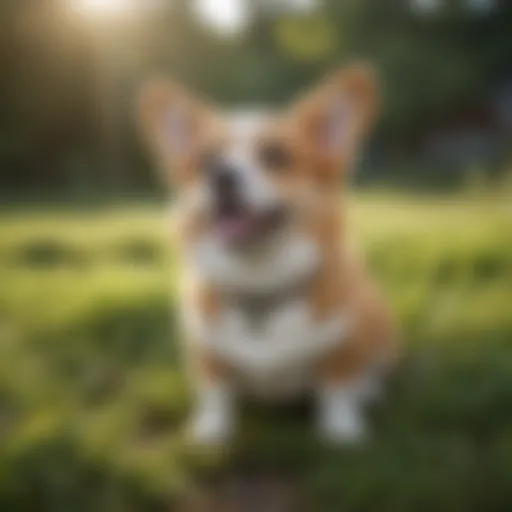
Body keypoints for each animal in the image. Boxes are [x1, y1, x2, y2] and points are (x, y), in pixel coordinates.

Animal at [138, 64, 398, 442]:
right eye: (205, 160)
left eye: (276, 156)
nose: (220, 176)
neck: (259, 283)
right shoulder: (206, 353)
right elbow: (215, 392)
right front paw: (211, 431)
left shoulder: (343, 347)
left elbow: (337, 388)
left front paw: (341, 431)